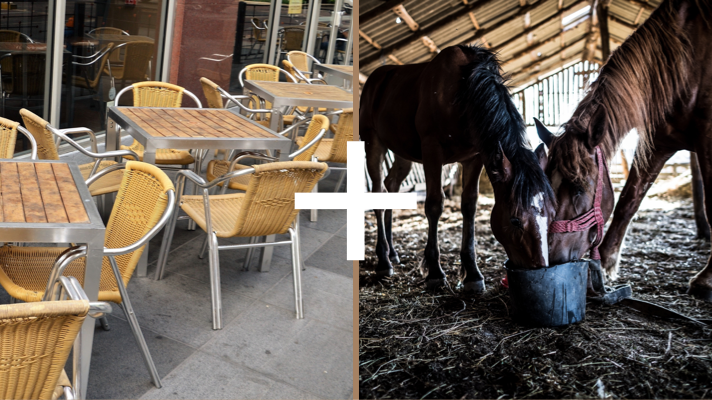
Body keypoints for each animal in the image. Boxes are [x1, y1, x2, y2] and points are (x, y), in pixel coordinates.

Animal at [362, 45, 556, 292]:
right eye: (515, 221)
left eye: (553, 214)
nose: (539, 268)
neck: (463, 91)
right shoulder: (432, 151)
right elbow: (435, 204)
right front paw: (435, 272)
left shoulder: (475, 158)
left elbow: (469, 206)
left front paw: (472, 273)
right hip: (373, 143)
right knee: (379, 191)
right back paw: (383, 261)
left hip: (402, 152)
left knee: (391, 185)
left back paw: (393, 253)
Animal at [536, 0, 712, 302]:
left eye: (578, 189)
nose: (555, 257)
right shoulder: (659, 142)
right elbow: (628, 200)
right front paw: (606, 264)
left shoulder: (708, 135)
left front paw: (706, 280)